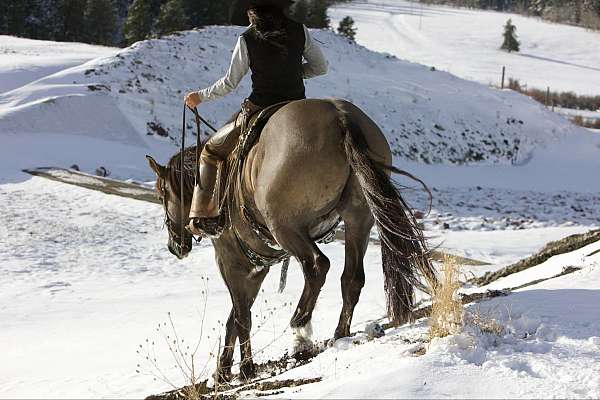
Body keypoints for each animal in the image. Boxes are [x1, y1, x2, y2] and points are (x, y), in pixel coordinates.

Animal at [145, 98, 436, 382]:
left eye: (161, 195)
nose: (175, 246)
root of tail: (340, 116)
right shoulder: (257, 268)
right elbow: (236, 316)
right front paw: (224, 369)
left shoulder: (229, 260)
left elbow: (240, 316)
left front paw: (242, 369)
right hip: (358, 218)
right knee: (351, 277)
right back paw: (339, 334)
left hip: (286, 228)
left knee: (318, 266)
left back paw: (299, 329)